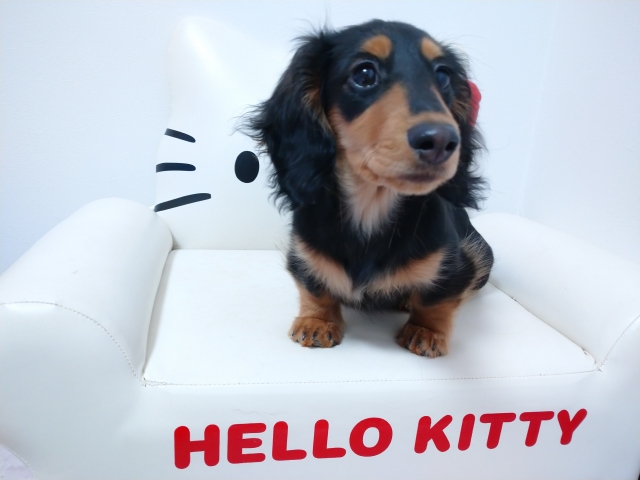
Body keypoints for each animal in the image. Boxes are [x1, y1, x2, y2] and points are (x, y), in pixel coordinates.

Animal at [245, 19, 493, 358]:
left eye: (443, 75)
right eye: (364, 74)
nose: (442, 140)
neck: (370, 205)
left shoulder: (459, 265)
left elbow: (438, 300)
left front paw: (426, 331)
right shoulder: (302, 255)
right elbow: (314, 286)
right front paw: (317, 321)